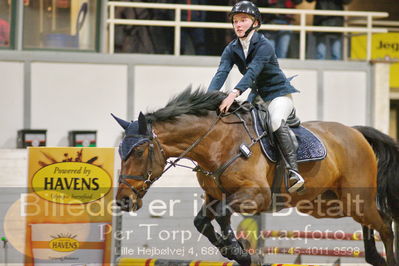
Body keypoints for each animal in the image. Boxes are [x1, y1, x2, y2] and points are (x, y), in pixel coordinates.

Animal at [112, 88, 399, 264]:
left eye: (138, 151)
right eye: (120, 152)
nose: (123, 200)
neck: (217, 143)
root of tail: (356, 133)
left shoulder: (256, 195)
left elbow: (223, 214)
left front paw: (239, 250)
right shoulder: (214, 196)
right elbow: (202, 220)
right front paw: (236, 250)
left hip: (353, 198)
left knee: (385, 224)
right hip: (329, 204)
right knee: (371, 222)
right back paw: (374, 256)